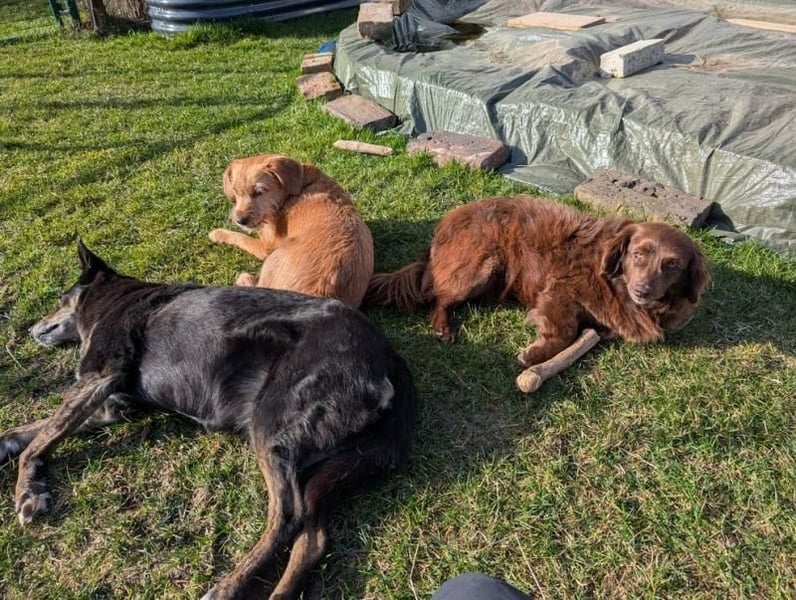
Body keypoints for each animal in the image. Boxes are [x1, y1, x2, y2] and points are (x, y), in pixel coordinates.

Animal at [3, 240, 417, 600]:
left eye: (61, 299)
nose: (31, 329)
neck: (116, 298)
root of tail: (391, 360)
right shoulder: (113, 404)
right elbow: (33, 431)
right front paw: (10, 447)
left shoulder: (98, 378)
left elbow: (42, 439)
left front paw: (28, 492)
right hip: (324, 463)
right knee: (313, 536)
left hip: (271, 426)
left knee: (288, 515)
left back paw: (228, 587)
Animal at [209, 154, 374, 307]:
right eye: (236, 192)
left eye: (259, 191)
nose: (240, 220)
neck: (300, 185)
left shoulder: (265, 247)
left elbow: (240, 237)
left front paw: (218, 233)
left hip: (271, 261)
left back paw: (244, 278)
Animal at [366, 195, 708, 368]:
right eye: (638, 254)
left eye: (672, 265)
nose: (642, 290)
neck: (616, 282)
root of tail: (444, 225)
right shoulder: (562, 288)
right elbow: (566, 331)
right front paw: (535, 354)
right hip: (481, 266)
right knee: (438, 297)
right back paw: (442, 328)